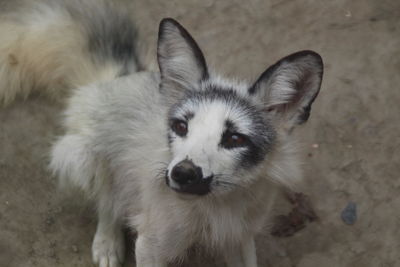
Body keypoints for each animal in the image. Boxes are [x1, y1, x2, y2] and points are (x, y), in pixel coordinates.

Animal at [0, 0, 322, 267]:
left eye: (234, 138)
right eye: (181, 126)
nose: (182, 173)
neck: (214, 208)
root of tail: (121, 75)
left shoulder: (240, 238)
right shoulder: (150, 245)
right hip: (82, 156)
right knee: (108, 199)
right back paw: (107, 242)